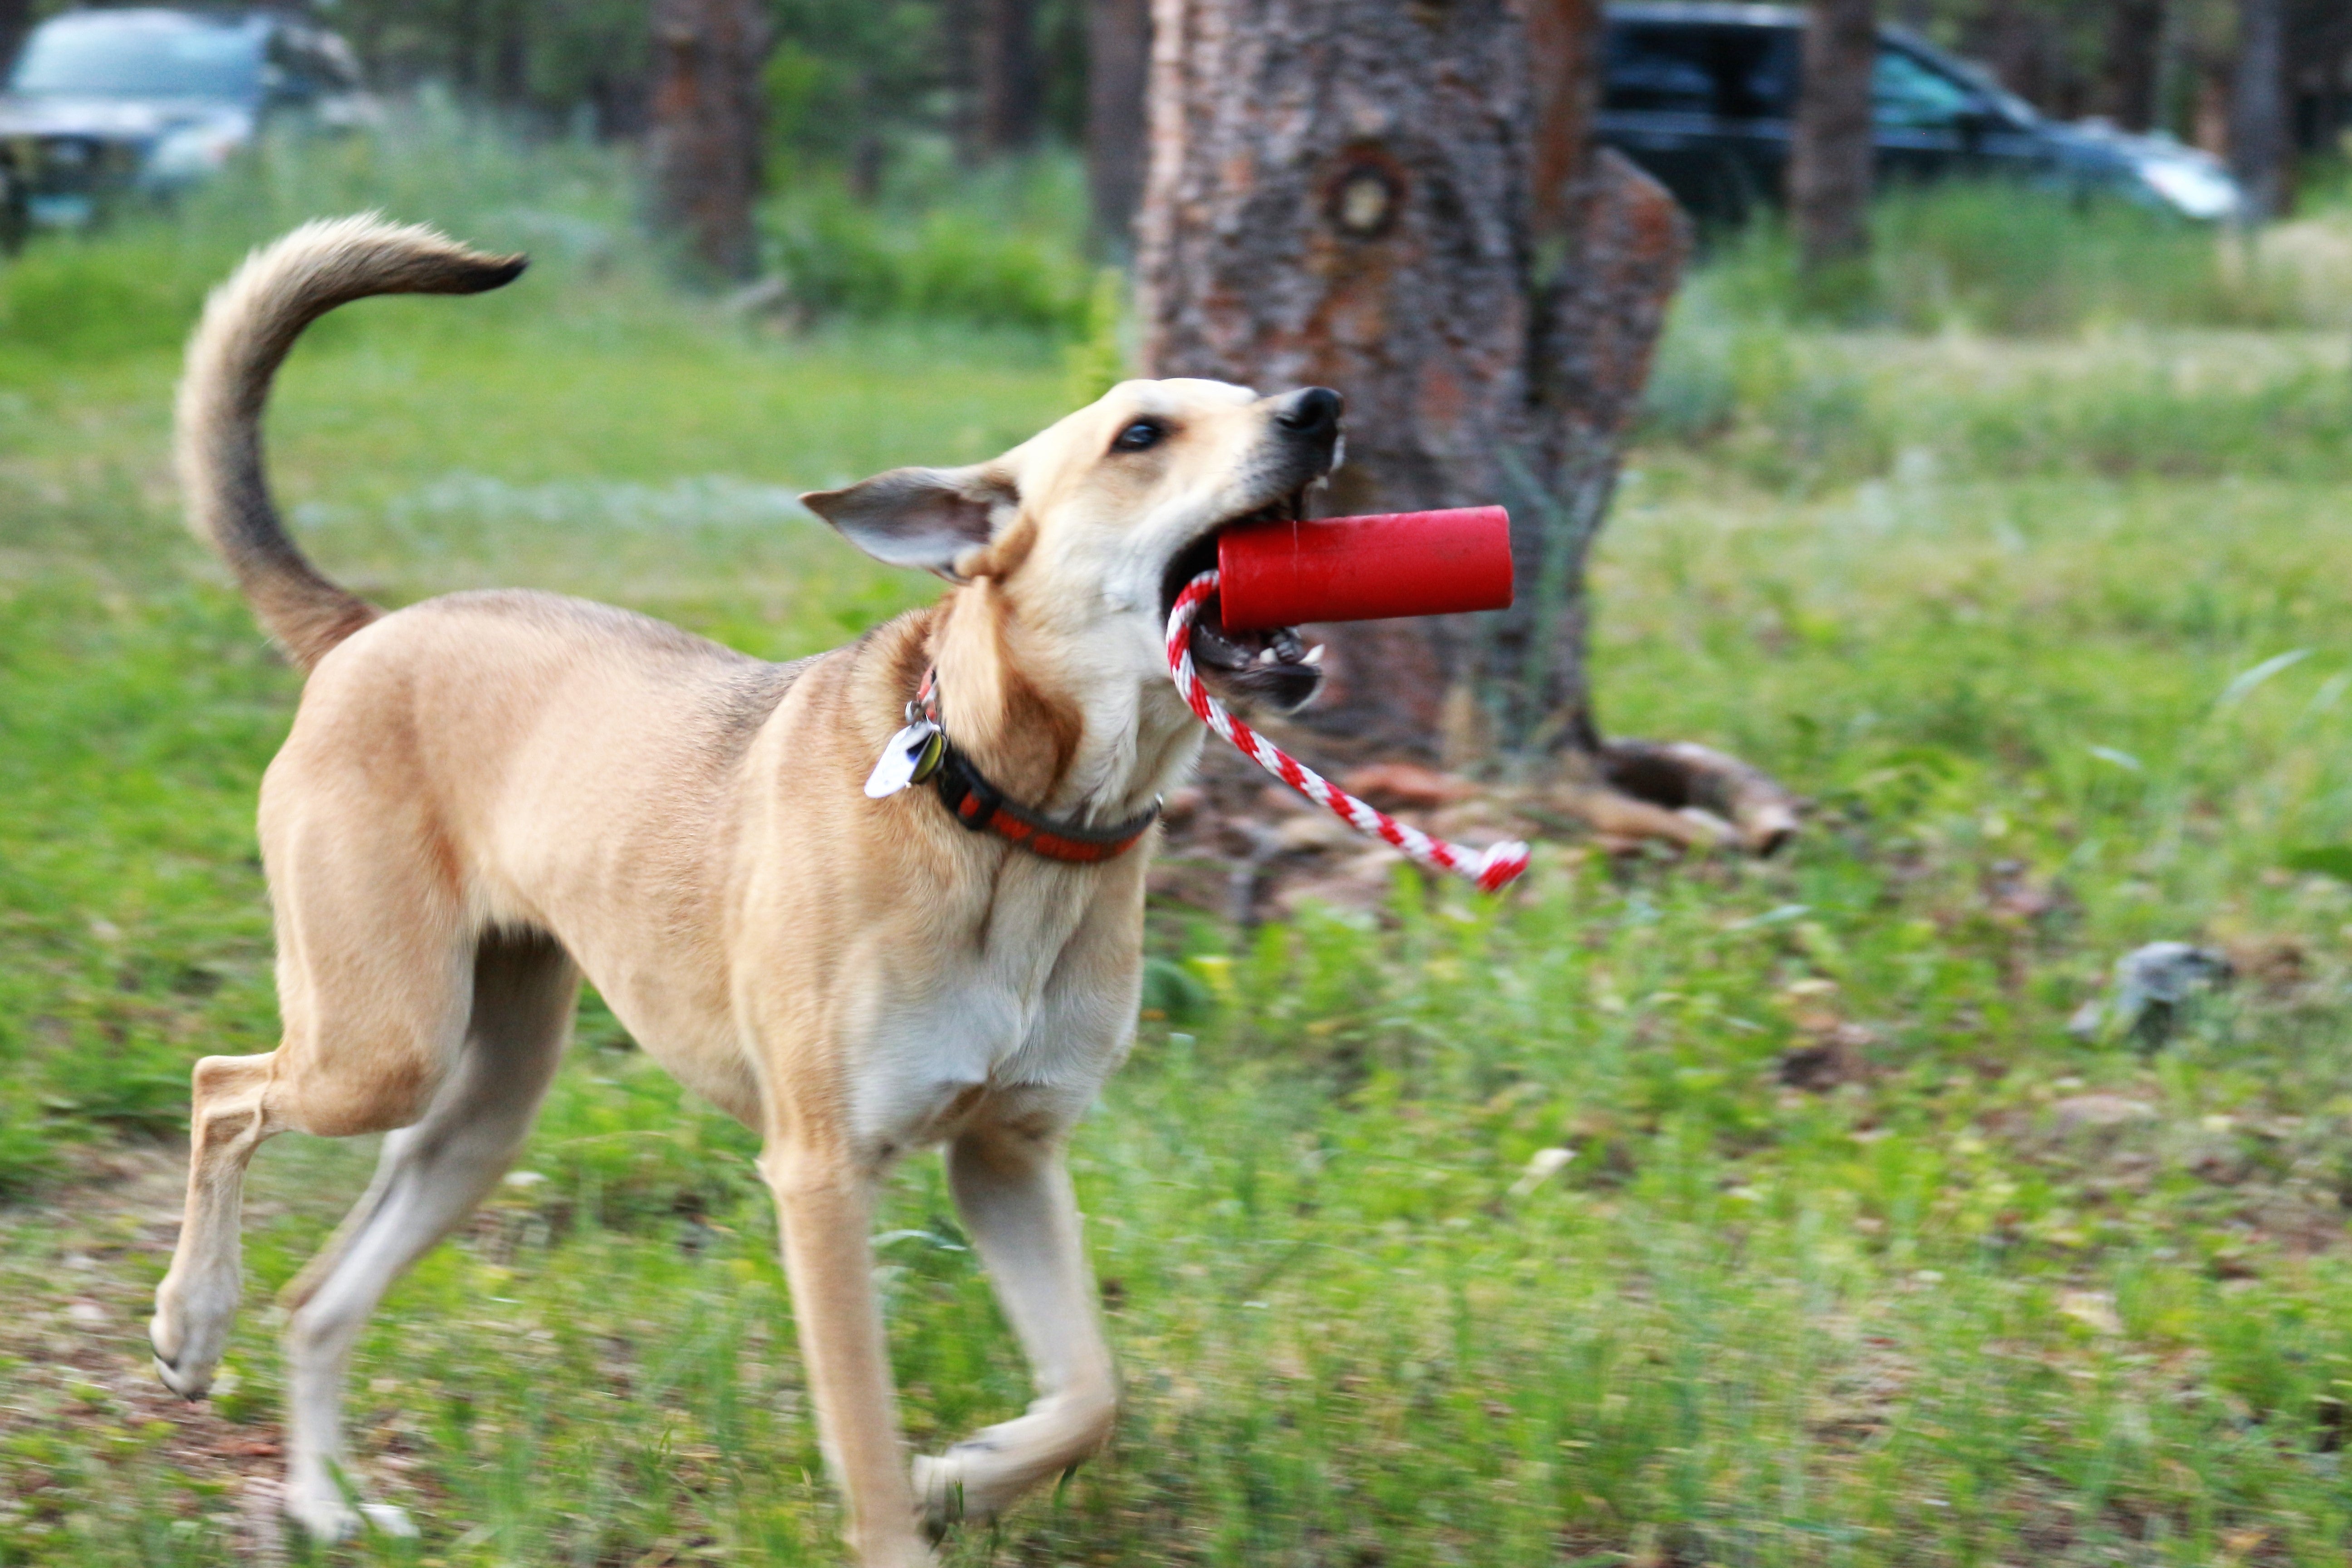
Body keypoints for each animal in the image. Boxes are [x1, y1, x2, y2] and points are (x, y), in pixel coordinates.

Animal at [152, 215, 1345, 1561]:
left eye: (1248, 393)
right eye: (1141, 434)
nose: (1318, 407)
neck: (1010, 822)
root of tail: (367, 630)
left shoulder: (1009, 1154)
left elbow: (1091, 1392)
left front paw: (966, 1472)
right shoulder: (822, 1173)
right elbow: (865, 1442)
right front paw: (912, 1508)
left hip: (481, 1107)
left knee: (318, 1298)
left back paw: (319, 1497)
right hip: (381, 1045)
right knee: (221, 1087)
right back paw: (191, 1324)